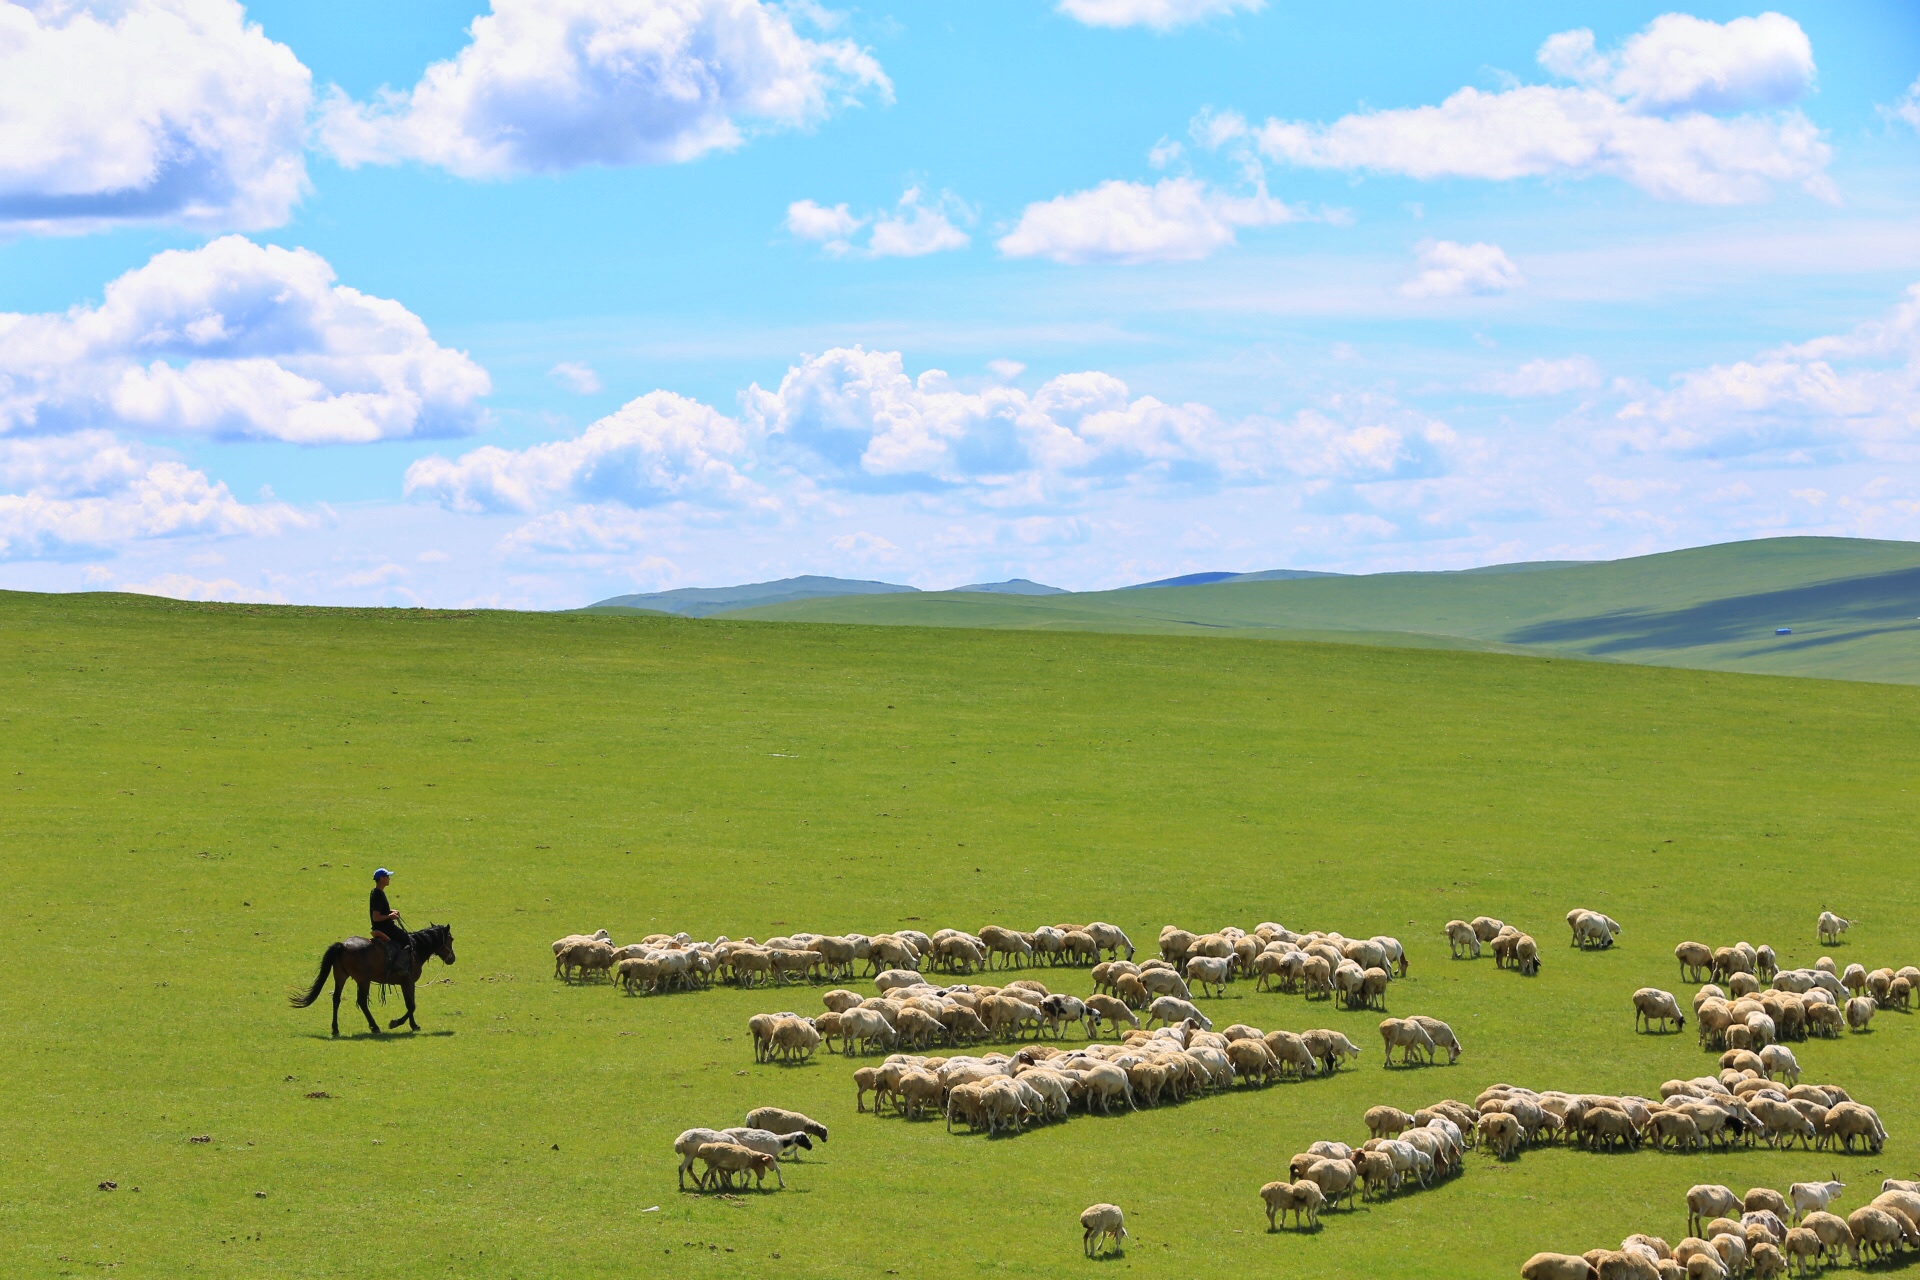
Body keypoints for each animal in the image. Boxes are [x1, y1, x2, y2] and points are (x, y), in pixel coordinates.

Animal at [289, 924, 455, 1036]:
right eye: (451, 939)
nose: (452, 958)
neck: (415, 949)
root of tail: (343, 945)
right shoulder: (408, 982)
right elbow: (411, 1005)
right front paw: (396, 1023)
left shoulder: (405, 983)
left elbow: (410, 1004)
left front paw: (413, 1025)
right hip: (363, 980)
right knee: (362, 1002)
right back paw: (374, 1027)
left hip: (340, 976)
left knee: (336, 999)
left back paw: (335, 1029)